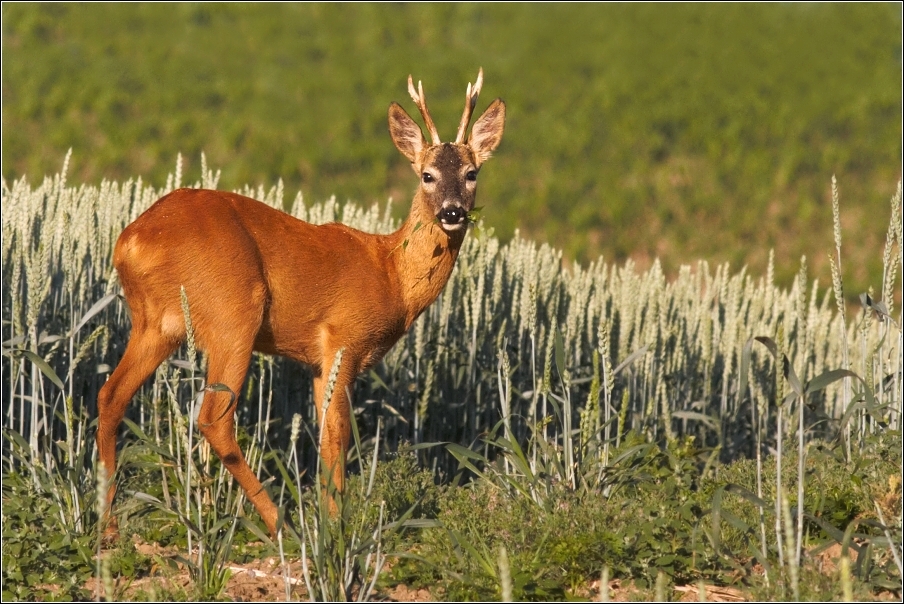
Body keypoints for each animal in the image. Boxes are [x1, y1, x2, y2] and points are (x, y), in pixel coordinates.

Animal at [99, 68, 508, 536]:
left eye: (472, 173)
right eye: (427, 175)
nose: (452, 212)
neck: (391, 275)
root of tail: (131, 242)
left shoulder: (316, 360)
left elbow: (326, 435)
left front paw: (330, 519)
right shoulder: (342, 338)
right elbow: (338, 437)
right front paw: (335, 529)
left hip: (156, 322)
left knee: (111, 396)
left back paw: (106, 523)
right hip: (233, 311)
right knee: (213, 418)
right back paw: (281, 523)